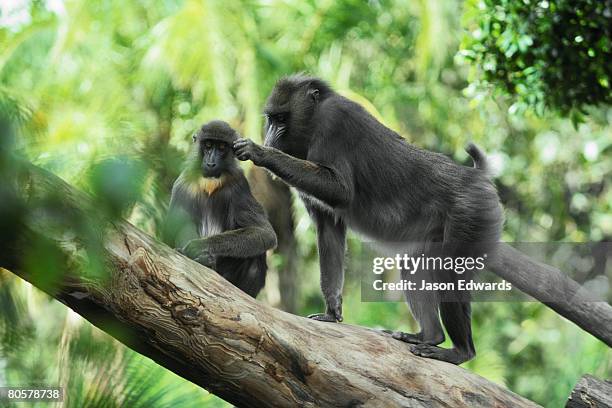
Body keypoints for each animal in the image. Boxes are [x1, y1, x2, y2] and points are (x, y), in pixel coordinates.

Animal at [164, 120, 276, 296]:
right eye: (208, 145)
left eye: (222, 147)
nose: (211, 163)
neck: (210, 181)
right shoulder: (183, 185)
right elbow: (177, 229)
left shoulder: (239, 184)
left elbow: (264, 232)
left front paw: (199, 247)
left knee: (255, 255)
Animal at [233, 75, 502, 364]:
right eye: (271, 119)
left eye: (282, 119)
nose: (270, 138)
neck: (314, 117)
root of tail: (477, 179)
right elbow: (329, 229)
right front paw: (331, 312)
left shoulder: (334, 122)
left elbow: (340, 190)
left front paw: (260, 152)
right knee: (413, 265)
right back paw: (430, 336)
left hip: (469, 216)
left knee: (448, 273)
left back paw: (460, 351)